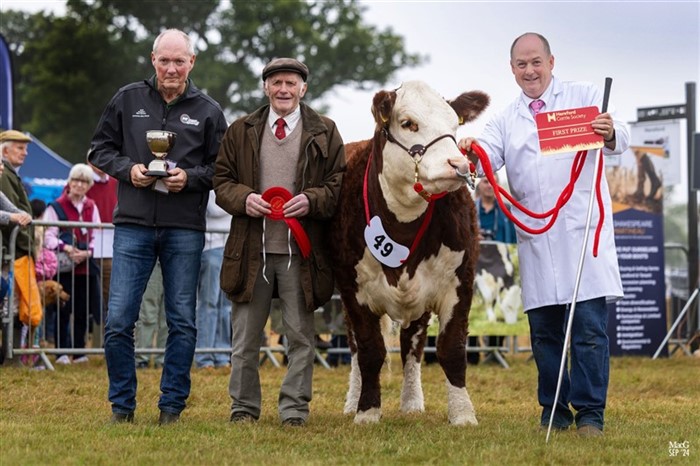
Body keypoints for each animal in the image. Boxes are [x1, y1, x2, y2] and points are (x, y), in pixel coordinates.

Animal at [330, 82, 490, 424]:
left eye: (455, 125)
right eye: (408, 123)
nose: (459, 165)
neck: (402, 223)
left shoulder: (460, 283)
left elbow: (451, 348)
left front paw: (463, 414)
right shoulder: (353, 291)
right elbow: (370, 350)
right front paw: (366, 411)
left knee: (412, 345)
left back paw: (412, 401)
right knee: (355, 347)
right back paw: (352, 400)